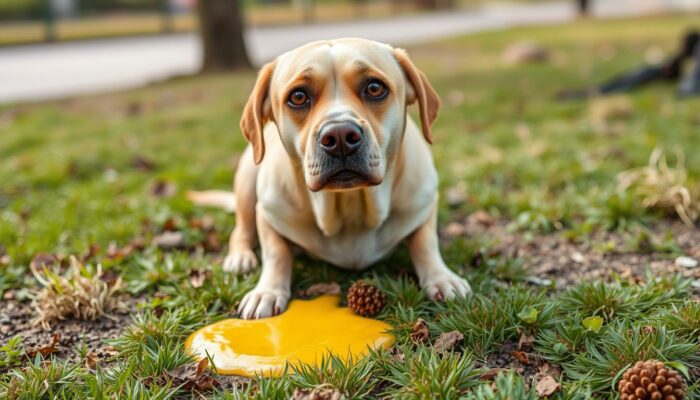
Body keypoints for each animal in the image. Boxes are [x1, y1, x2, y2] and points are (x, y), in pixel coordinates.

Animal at [227, 37, 474, 318]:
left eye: (375, 88)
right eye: (298, 96)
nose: (340, 136)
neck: (350, 207)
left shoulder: (424, 204)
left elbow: (426, 242)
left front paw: (441, 277)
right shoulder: (267, 212)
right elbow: (276, 252)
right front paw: (267, 291)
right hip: (247, 180)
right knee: (241, 229)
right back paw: (240, 257)